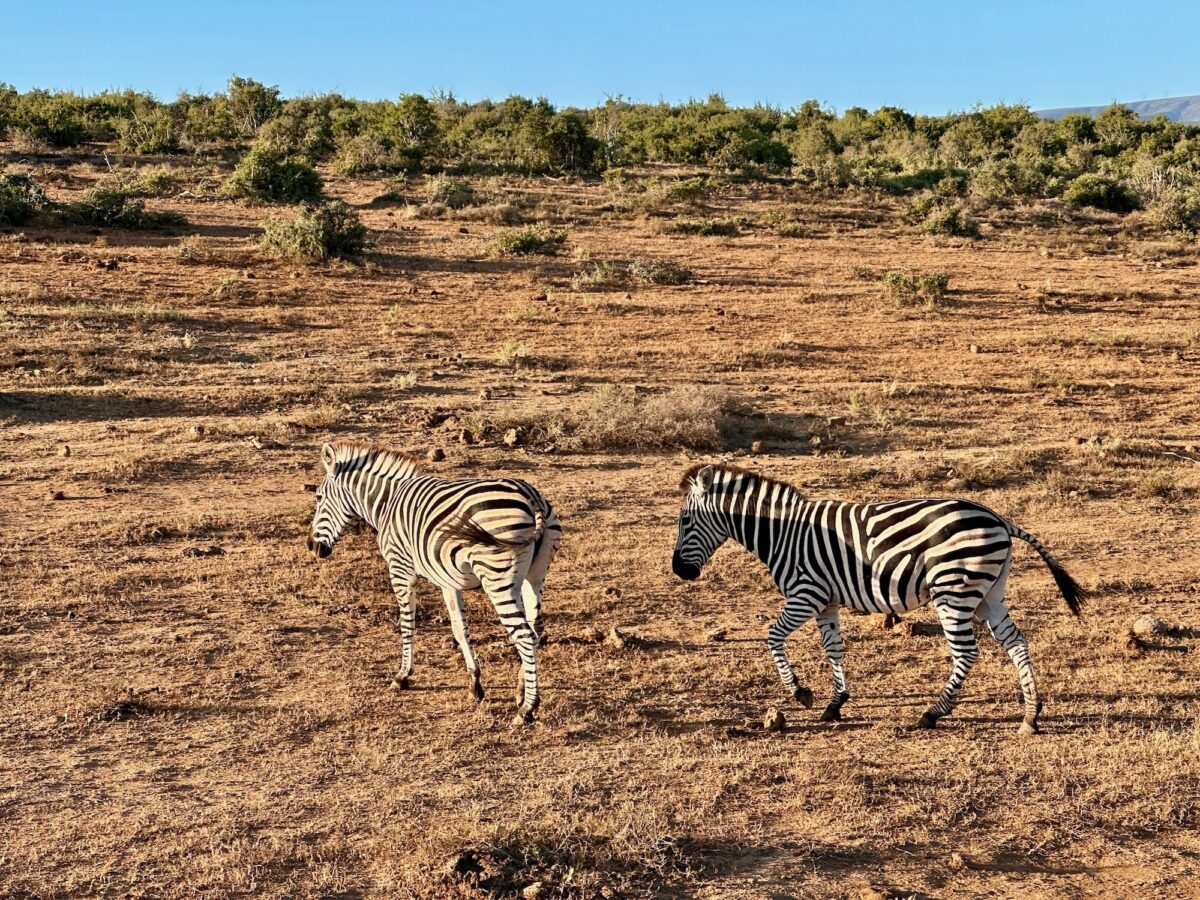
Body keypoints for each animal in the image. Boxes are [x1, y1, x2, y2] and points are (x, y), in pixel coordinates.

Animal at [307, 442, 562, 724]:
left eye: (318, 497)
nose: (312, 547)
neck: (385, 503)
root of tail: (532, 498)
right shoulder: (448, 580)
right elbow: (459, 629)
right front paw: (475, 684)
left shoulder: (400, 568)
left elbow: (407, 623)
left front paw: (402, 676)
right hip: (534, 576)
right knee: (535, 629)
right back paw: (520, 690)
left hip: (497, 577)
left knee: (524, 635)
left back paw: (527, 709)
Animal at [671, 463, 1086, 735]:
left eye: (685, 521)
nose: (679, 571)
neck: (783, 532)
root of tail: (998, 519)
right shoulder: (826, 601)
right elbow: (834, 648)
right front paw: (835, 703)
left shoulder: (807, 593)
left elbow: (773, 637)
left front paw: (801, 693)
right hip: (988, 594)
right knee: (1016, 642)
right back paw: (1031, 715)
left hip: (953, 590)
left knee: (967, 653)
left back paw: (932, 713)